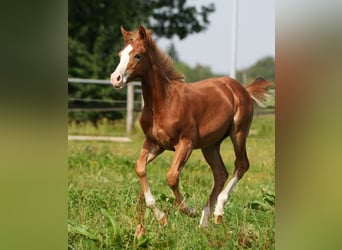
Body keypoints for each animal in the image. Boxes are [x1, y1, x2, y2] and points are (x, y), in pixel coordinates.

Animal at [111, 25, 272, 232]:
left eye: (137, 55)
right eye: (120, 54)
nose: (115, 79)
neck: (163, 103)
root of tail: (242, 89)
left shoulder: (185, 143)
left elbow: (172, 176)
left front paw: (189, 211)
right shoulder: (155, 144)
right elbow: (139, 168)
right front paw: (161, 217)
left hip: (239, 133)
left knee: (241, 164)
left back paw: (218, 212)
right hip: (210, 145)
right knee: (220, 173)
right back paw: (204, 222)